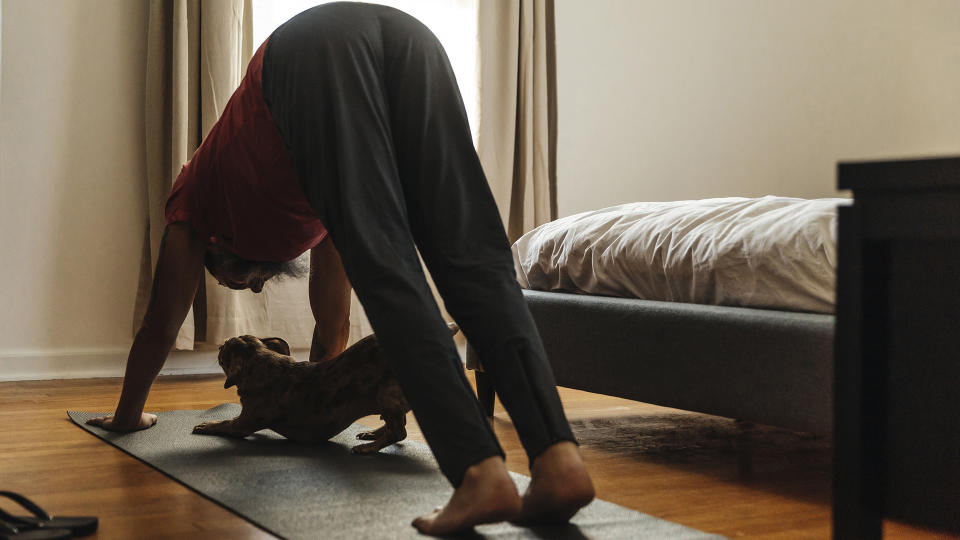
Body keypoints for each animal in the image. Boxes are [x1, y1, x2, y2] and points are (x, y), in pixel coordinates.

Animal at [193, 322, 460, 454]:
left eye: (225, 351)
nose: (219, 346)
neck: (264, 365)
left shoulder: (243, 423)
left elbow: (224, 424)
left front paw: (206, 425)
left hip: (388, 394)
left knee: (399, 432)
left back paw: (369, 448)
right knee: (393, 425)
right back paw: (372, 435)